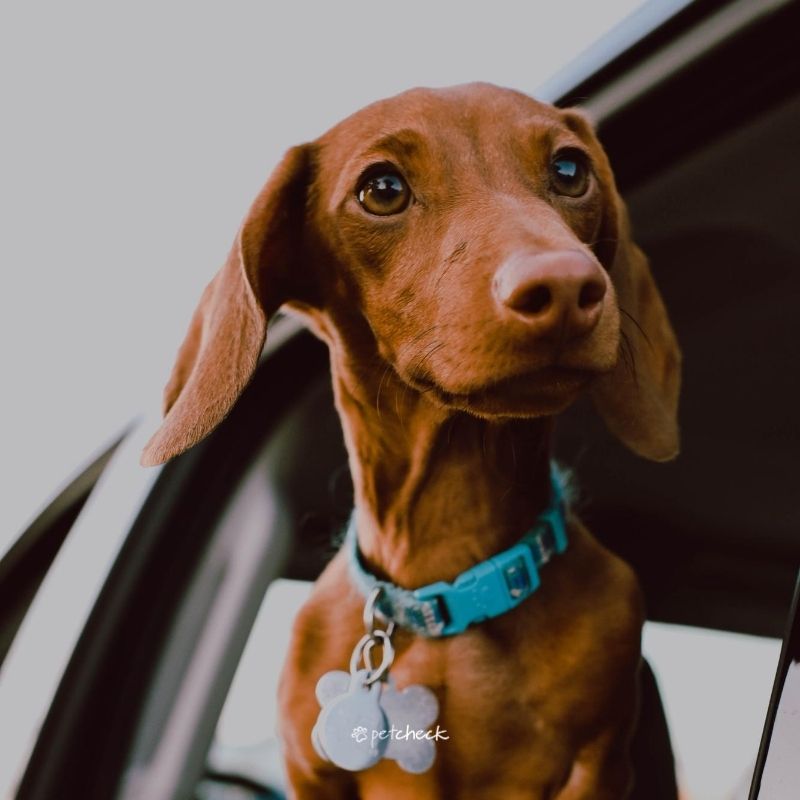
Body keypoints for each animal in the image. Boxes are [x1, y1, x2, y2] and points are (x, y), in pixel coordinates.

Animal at [141, 84, 680, 796]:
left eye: (570, 170)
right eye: (383, 189)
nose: (566, 285)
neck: (445, 591)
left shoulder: (597, 765)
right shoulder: (310, 775)